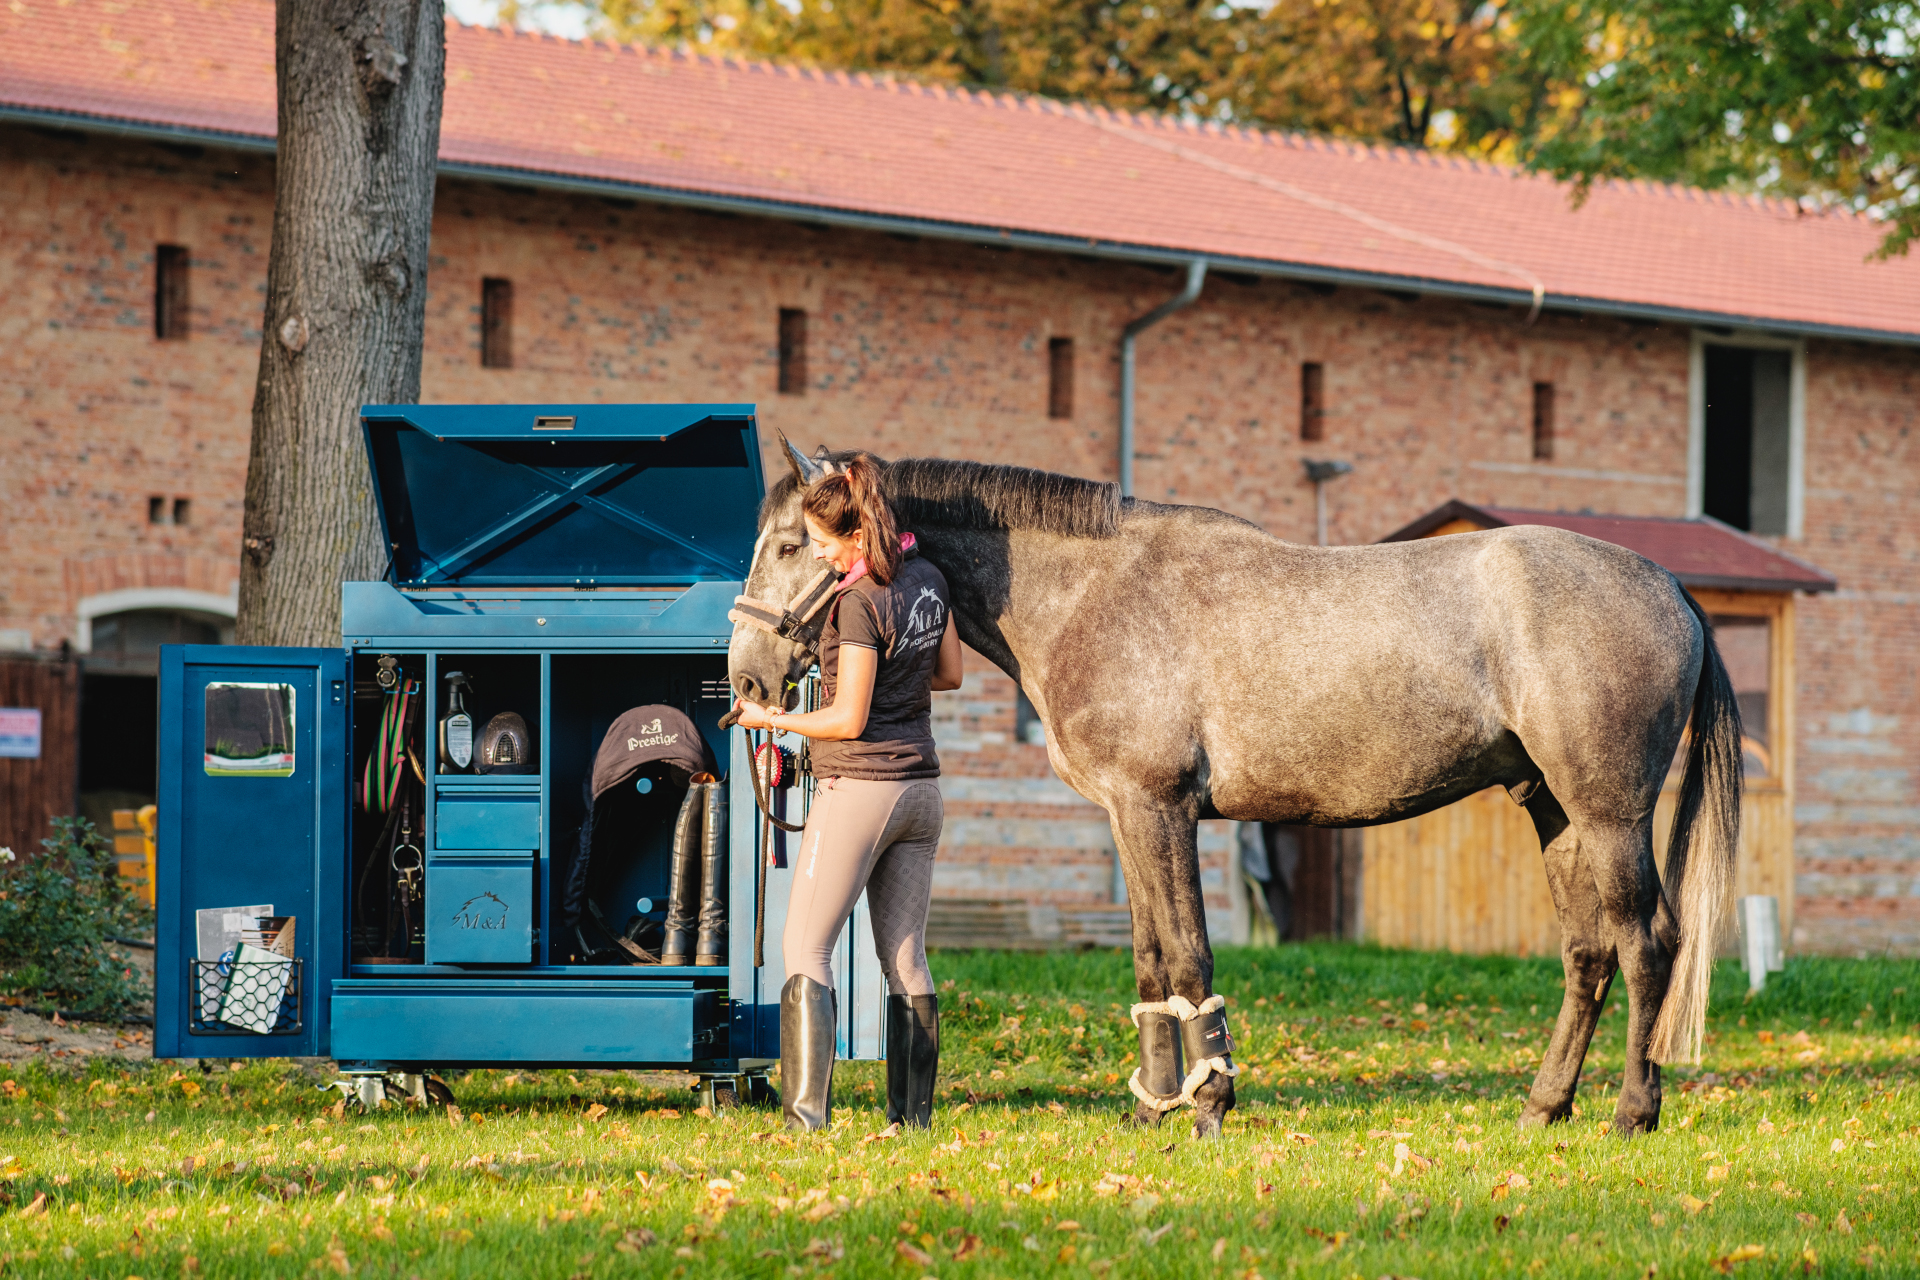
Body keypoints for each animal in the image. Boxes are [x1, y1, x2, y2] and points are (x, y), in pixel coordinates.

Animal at [728, 439, 1741, 1140]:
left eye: (790, 543)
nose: (745, 680)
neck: (1093, 593)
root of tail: (1668, 586)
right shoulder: (1126, 817)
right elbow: (1147, 963)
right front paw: (1152, 1109)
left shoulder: (1161, 808)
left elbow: (1189, 960)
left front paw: (1210, 1104)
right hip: (1553, 808)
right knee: (1589, 955)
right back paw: (1543, 1107)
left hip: (1608, 813)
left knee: (1649, 944)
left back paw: (1632, 1112)